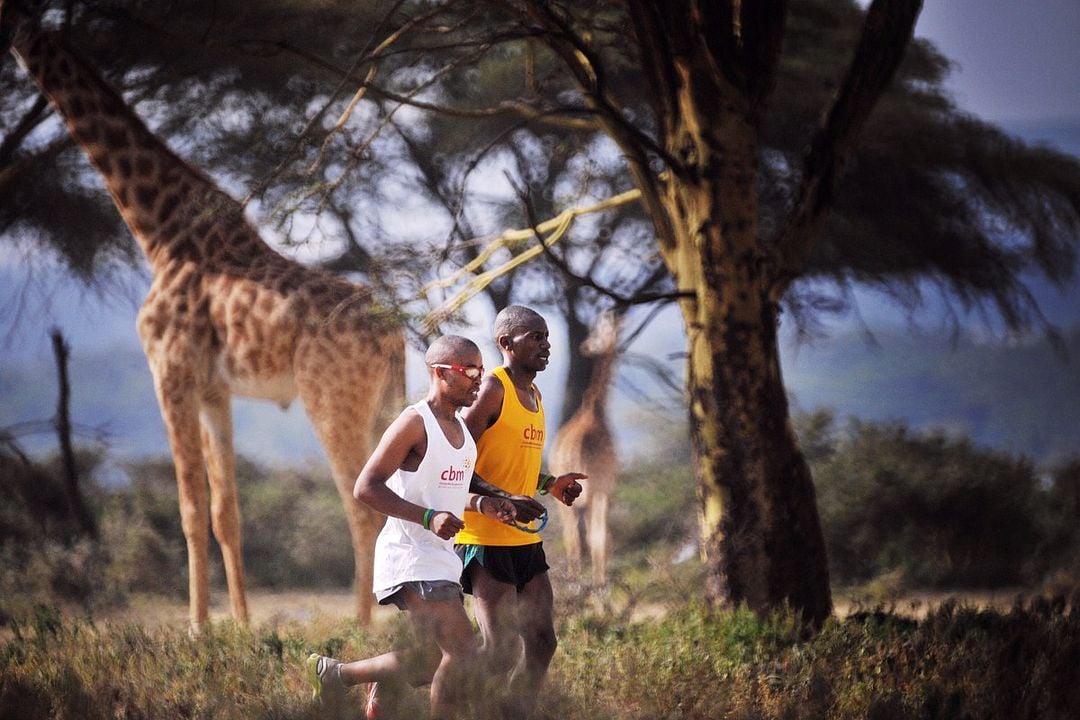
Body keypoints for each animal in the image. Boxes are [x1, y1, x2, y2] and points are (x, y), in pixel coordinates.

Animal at [3, 2, 401, 626]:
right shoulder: (216, 390)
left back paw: (362, 627)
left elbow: (189, 507)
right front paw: (240, 623)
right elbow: (225, 512)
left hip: (331, 400)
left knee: (363, 507)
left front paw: (198, 627)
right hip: (386, 404)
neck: (159, 232)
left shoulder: (170, 372)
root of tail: (395, 334)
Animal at [552, 310, 622, 587]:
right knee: (587, 537)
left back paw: (577, 580)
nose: (585, 346)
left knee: (574, 537)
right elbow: (600, 537)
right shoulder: (605, 487)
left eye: (598, 329)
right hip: (591, 491)